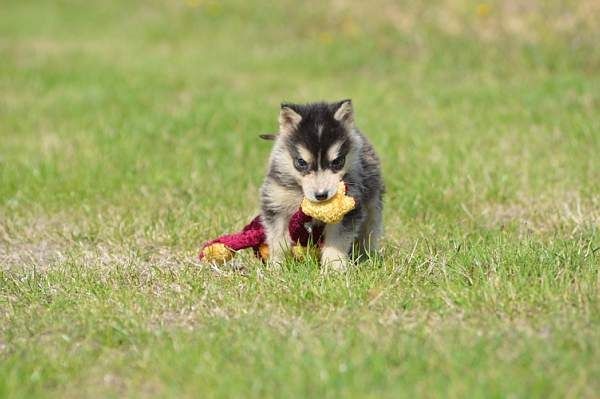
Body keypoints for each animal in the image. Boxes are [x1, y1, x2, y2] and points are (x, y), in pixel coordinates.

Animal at [258, 100, 382, 272]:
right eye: (301, 162)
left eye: (337, 161)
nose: (321, 195)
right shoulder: (276, 204)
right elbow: (278, 241)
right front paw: (277, 267)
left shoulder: (349, 210)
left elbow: (337, 241)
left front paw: (334, 268)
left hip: (372, 205)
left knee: (369, 231)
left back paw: (367, 256)